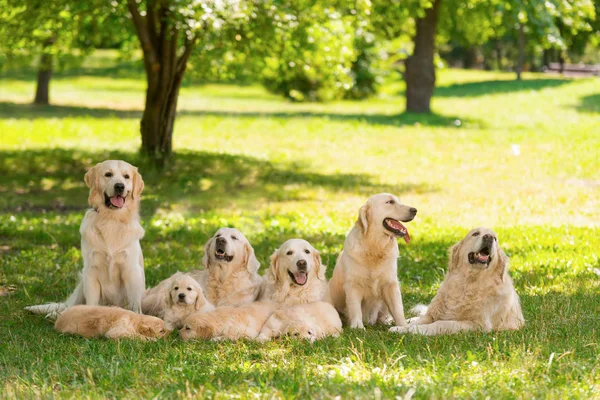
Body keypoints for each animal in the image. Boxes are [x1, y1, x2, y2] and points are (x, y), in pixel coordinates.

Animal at [25, 159, 148, 318]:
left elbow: (134, 304)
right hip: (82, 282)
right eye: (108, 174)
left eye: (126, 177)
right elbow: (91, 303)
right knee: (68, 306)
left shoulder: (131, 270)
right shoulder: (91, 270)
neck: (111, 219)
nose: (119, 186)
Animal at [328, 193, 418, 328]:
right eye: (390, 202)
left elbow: (397, 309)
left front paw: (403, 327)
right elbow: (355, 308)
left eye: (398, 201)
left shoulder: (390, 284)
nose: (414, 210)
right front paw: (358, 327)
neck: (374, 247)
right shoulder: (353, 285)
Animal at [390, 227, 524, 336]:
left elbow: (442, 323)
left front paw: (417, 330)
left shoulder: (478, 324)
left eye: (495, 239)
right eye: (475, 233)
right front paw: (401, 328)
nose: (489, 237)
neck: (469, 283)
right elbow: (419, 321)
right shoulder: (432, 315)